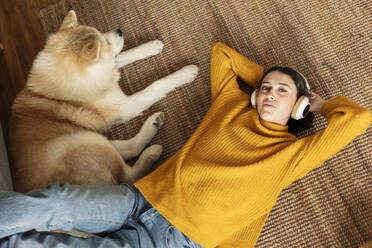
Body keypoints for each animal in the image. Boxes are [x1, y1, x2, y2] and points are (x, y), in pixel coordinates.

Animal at [8, 10, 199, 194]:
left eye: (99, 31)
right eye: (105, 43)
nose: (120, 31)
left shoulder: (107, 71)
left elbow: (123, 55)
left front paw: (150, 46)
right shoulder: (124, 106)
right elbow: (156, 86)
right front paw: (185, 73)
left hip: (89, 136)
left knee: (128, 150)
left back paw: (154, 124)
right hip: (83, 141)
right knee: (128, 176)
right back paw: (151, 153)